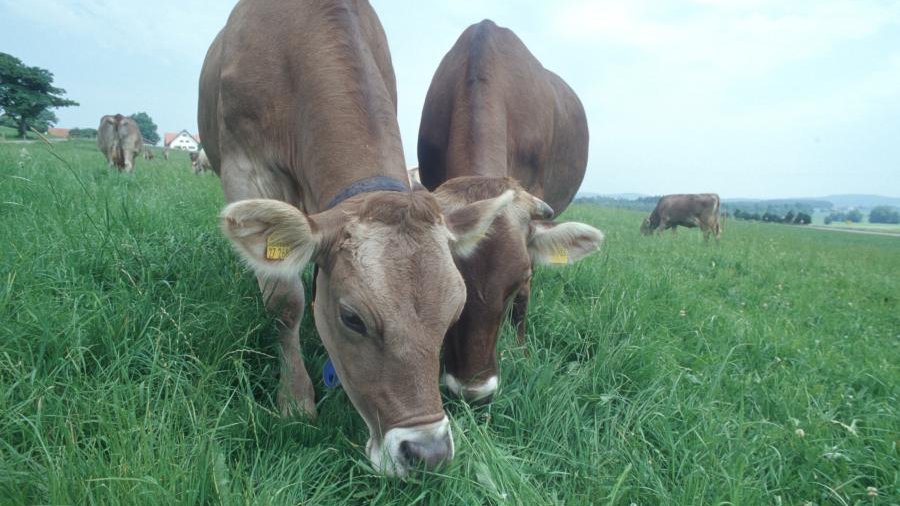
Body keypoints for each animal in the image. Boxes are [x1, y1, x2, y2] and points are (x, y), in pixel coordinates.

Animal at [200, 0, 516, 476]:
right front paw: (295, 400)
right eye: (352, 319)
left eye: (454, 312)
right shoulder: (245, 168)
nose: (427, 453)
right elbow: (284, 300)